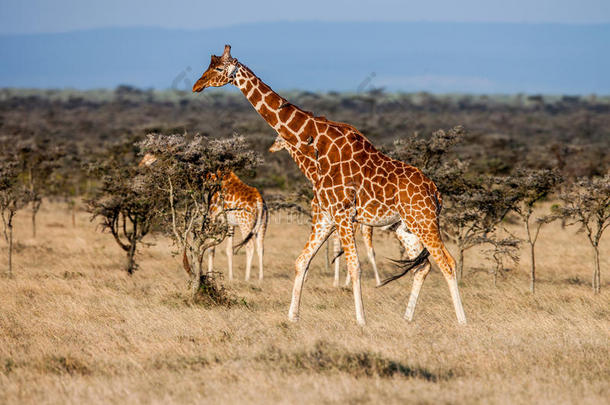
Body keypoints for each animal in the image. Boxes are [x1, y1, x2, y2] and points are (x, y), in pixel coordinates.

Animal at [142, 152, 268, 280]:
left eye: (151, 156)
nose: (141, 165)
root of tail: (259, 201)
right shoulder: (230, 224)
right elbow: (228, 249)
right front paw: (230, 278)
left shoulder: (214, 218)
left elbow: (211, 249)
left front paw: (210, 276)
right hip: (262, 225)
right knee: (261, 248)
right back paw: (260, 279)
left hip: (245, 225)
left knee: (250, 247)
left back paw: (247, 278)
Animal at [191, 45, 466, 324]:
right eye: (208, 65)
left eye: (217, 68)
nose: (196, 85)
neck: (317, 147)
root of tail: (435, 192)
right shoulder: (325, 215)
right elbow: (301, 261)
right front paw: (292, 317)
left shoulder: (343, 214)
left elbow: (354, 266)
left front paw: (361, 321)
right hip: (405, 227)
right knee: (423, 266)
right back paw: (407, 319)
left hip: (424, 221)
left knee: (448, 263)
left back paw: (461, 321)